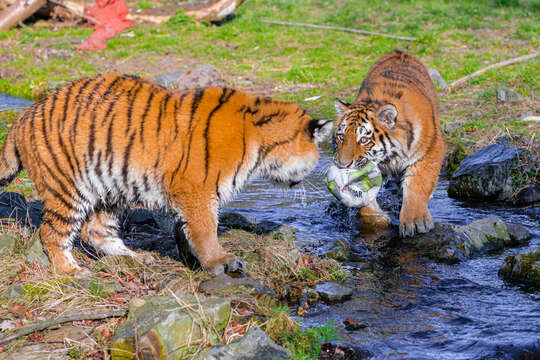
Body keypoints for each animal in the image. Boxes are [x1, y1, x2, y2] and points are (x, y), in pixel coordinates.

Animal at [0, 74, 334, 276]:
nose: (304, 181)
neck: (261, 144)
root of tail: (24, 116)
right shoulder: (197, 190)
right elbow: (205, 230)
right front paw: (219, 262)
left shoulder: (187, 193)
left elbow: (185, 230)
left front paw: (192, 260)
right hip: (67, 187)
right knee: (52, 233)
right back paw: (72, 272)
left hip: (109, 189)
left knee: (95, 230)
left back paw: (135, 258)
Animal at [336, 49, 446, 238]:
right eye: (342, 137)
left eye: (363, 140)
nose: (343, 165)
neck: (390, 157)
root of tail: (400, 51)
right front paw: (377, 220)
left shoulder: (432, 149)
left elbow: (418, 186)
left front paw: (416, 221)